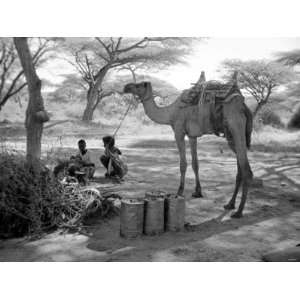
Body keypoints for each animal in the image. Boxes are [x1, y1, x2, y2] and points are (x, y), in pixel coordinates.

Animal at [123, 72, 253, 218]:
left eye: (139, 85)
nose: (126, 87)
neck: (170, 112)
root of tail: (244, 107)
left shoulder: (178, 131)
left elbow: (183, 164)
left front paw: (179, 192)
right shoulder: (192, 135)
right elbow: (195, 164)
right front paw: (198, 192)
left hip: (236, 124)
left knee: (246, 169)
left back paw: (239, 211)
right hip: (230, 134)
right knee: (240, 167)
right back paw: (230, 204)